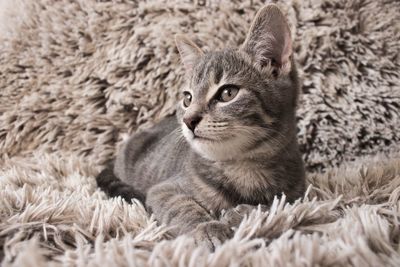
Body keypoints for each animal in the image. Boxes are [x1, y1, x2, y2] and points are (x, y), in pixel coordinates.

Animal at [97, 4, 306, 250]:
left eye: (228, 93)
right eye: (187, 98)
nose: (188, 120)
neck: (245, 167)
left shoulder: (297, 196)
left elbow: (279, 206)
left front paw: (244, 212)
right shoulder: (163, 190)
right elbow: (182, 207)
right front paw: (206, 228)